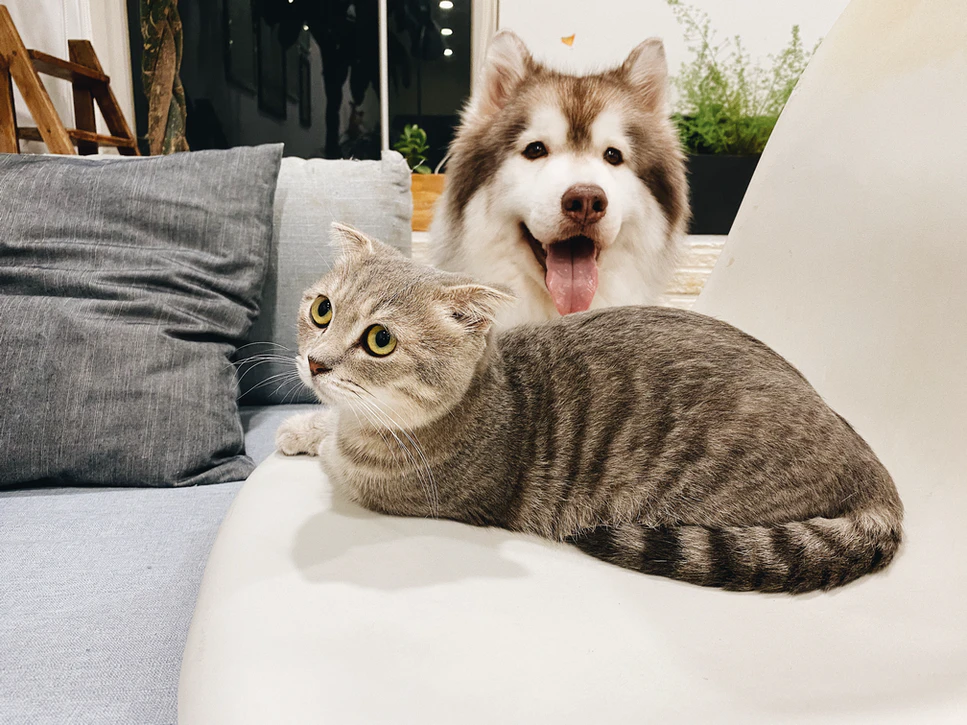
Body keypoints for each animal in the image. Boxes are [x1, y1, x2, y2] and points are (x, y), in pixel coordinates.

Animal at [276, 223, 904, 592]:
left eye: (379, 340)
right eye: (323, 309)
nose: (316, 363)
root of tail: (871, 468)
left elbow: (336, 453)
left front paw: (316, 435)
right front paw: (300, 426)